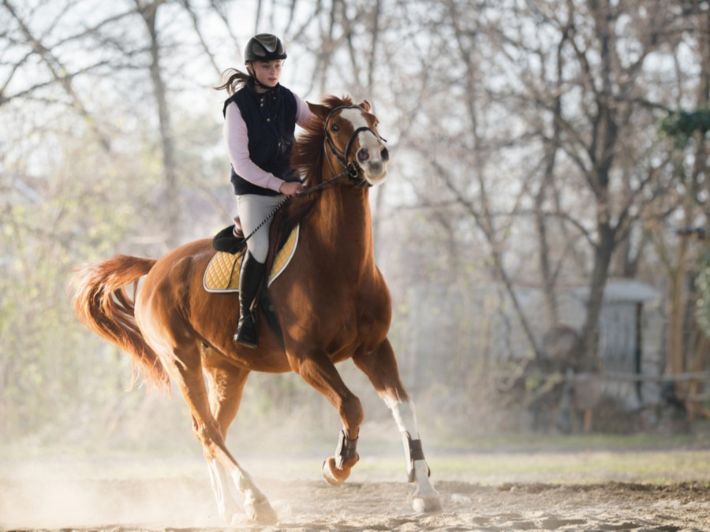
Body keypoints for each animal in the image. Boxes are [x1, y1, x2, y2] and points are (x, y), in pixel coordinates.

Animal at [71, 95, 440, 524]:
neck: (340, 263)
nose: (375, 157)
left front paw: (424, 490)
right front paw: (337, 464)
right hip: (181, 360)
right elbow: (351, 405)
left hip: (227, 369)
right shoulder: (306, 358)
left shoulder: (373, 348)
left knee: (214, 431)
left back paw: (233, 507)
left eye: (372, 120)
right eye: (335, 127)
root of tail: (155, 266)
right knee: (207, 429)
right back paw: (257, 500)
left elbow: (403, 407)